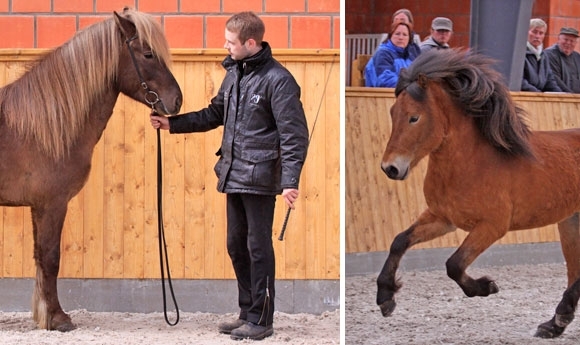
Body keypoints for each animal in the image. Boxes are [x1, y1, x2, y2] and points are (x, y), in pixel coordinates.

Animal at [0, 8, 181, 330]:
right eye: (148, 54)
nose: (177, 100)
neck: (44, 126)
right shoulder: (52, 204)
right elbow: (50, 258)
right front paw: (58, 318)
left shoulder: (39, 206)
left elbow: (39, 257)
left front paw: (44, 315)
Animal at [378, 49, 580, 338]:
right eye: (393, 112)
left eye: (414, 117)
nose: (390, 168)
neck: (473, 163)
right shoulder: (443, 219)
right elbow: (399, 241)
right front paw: (385, 297)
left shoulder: (492, 226)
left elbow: (454, 264)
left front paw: (486, 287)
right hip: (570, 221)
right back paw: (555, 323)